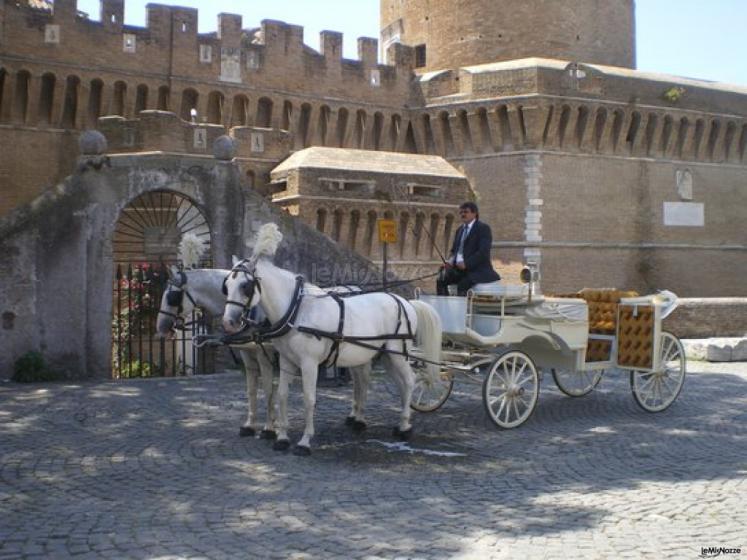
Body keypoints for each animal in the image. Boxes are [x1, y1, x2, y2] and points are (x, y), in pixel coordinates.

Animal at [222, 222, 444, 456]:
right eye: (226, 285)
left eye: (246, 286)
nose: (229, 321)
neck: (297, 310)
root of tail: (405, 301)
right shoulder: (286, 361)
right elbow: (281, 394)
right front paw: (281, 438)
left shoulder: (309, 363)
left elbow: (309, 398)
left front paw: (304, 441)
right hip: (384, 355)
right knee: (395, 383)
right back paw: (393, 421)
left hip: (398, 353)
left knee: (410, 380)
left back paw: (404, 427)